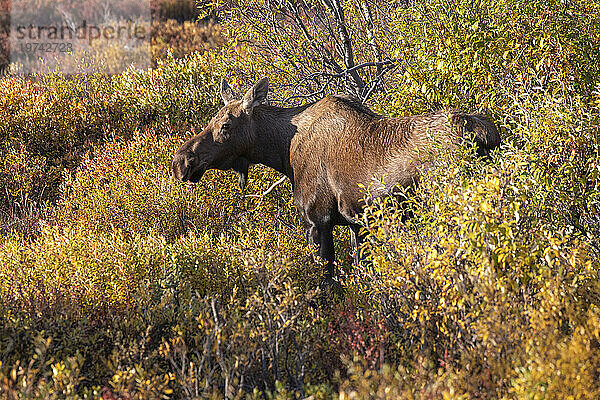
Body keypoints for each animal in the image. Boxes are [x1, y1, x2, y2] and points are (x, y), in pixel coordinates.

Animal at [172, 77, 502, 278]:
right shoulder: (357, 223)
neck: (282, 152)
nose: (181, 161)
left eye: (226, 125)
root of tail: (487, 135)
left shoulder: (317, 219)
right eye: (211, 120)